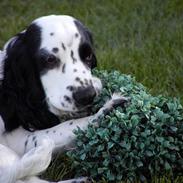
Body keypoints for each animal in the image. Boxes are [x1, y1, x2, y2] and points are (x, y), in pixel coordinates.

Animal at [0, 15, 126, 183]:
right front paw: (104, 111)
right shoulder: (18, 140)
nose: (87, 95)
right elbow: (65, 127)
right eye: (50, 60)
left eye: (88, 56)